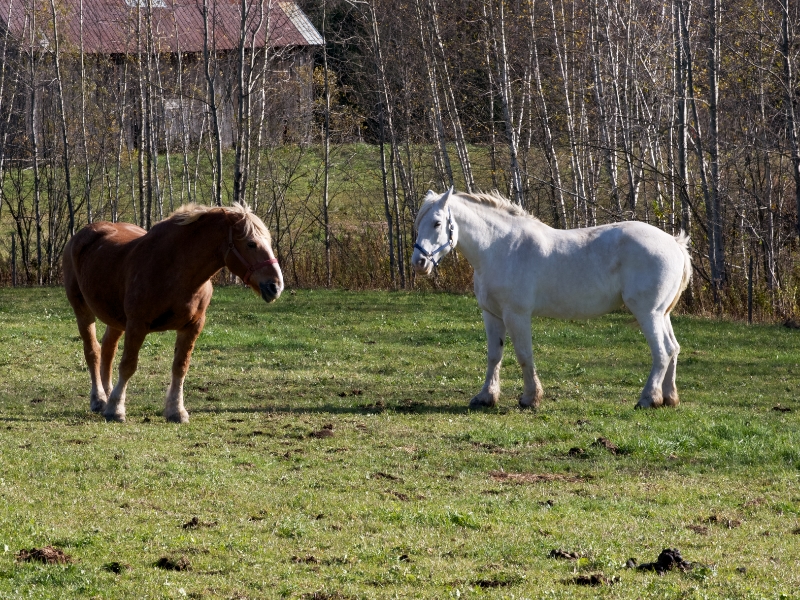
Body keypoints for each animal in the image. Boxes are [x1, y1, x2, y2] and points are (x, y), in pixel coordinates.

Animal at [65, 202, 284, 422]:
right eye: (251, 244)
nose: (275, 286)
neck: (174, 269)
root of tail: (83, 234)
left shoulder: (192, 326)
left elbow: (180, 367)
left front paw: (176, 410)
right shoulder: (137, 324)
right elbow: (128, 365)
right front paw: (116, 409)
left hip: (116, 319)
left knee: (108, 349)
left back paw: (109, 394)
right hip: (83, 310)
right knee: (93, 351)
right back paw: (100, 399)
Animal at [410, 190, 692, 410]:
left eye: (437, 223)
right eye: (419, 222)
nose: (419, 262)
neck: (499, 247)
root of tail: (674, 243)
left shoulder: (517, 315)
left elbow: (524, 354)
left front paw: (530, 398)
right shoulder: (492, 315)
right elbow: (494, 356)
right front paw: (486, 397)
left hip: (648, 313)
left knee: (662, 352)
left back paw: (648, 398)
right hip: (661, 314)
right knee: (674, 348)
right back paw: (669, 397)